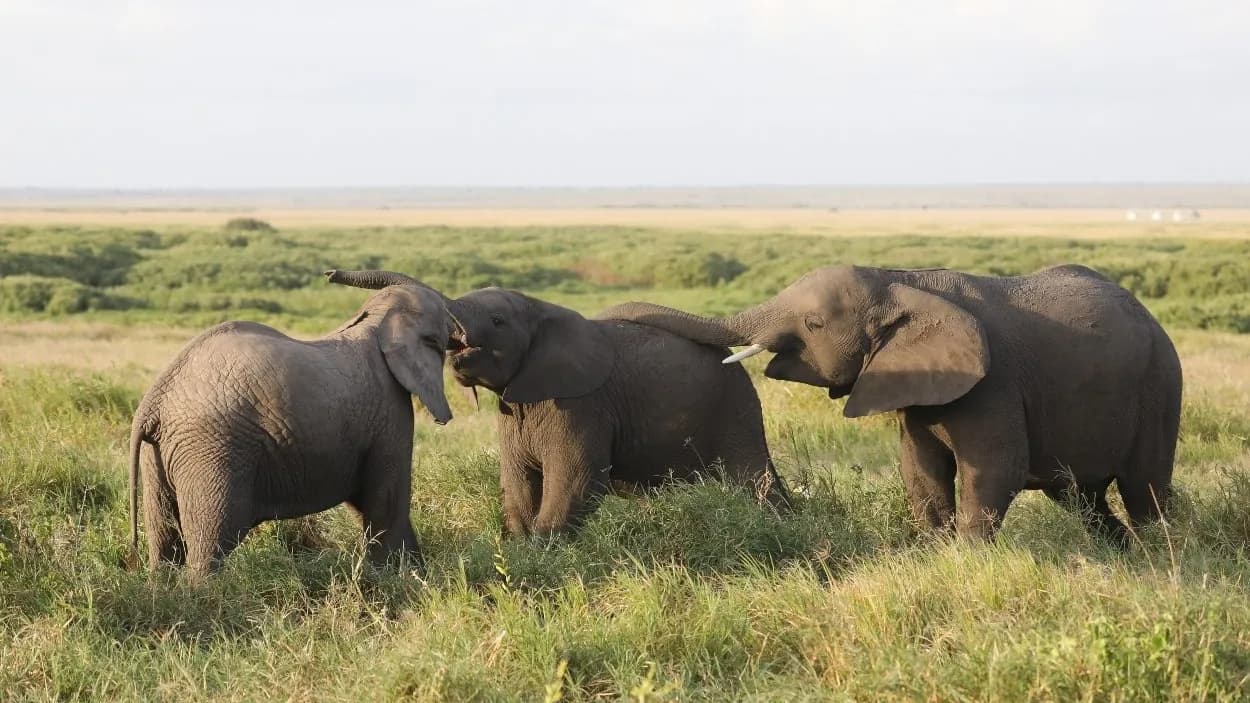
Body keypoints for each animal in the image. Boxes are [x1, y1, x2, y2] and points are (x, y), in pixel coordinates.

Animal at [127, 271, 453, 578]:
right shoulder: (390, 410)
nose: (329, 273)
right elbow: (385, 503)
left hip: (160, 457)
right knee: (211, 545)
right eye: (447, 324)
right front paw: (404, 580)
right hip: (212, 452)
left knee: (164, 543)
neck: (377, 321)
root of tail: (154, 401)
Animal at [327, 270, 788, 538]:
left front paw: (542, 552)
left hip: (734, 407)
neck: (541, 310)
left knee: (752, 475)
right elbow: (517, 479)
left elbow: (577, 479)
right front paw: (518, 547)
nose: (331, 273)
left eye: (497, 322)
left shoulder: (581, 404)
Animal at [601, 264, 1182, 544]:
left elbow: (995, 470)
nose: (611, 319)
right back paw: (1123, 556)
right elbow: (920, 471)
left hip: (1161, 385)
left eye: (814, 324)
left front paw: (968, 562)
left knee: (1144, 490)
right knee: (1082, 499)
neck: (903, 281)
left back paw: (1164, 556)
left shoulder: (994, 382)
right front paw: (936, 553)